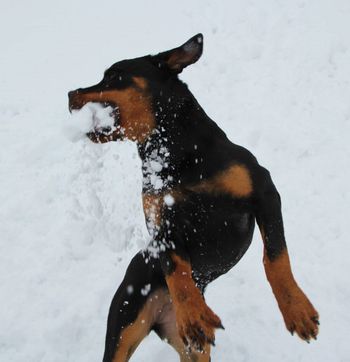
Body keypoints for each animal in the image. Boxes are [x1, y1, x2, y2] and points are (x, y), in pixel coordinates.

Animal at [68, 34, 320, 362]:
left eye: (113, 74)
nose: (70, 93)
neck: (175, 153)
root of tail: (161, 320)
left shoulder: (264, 190)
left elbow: (275, 256)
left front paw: (296, 309)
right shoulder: (161, 226)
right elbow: (178, 272)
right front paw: (193, 314)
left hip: (190, 349)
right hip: (126, 319)